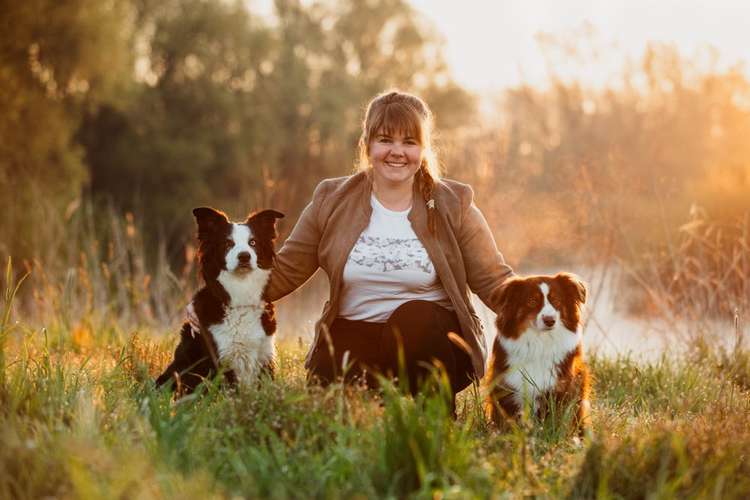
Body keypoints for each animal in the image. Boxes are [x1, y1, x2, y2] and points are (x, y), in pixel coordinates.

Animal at [158, 207, 284, 394]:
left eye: (253, 242)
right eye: (228, 244)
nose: (244, 256)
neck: (240, 297)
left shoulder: (264, 354)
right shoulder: (221, 358)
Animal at [488, 272, 592, 432]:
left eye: (556, 300)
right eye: (532, 301)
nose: (550, 320)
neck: (540, 343)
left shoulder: (561, 390)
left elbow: (558, 423)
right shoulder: (506, 389)